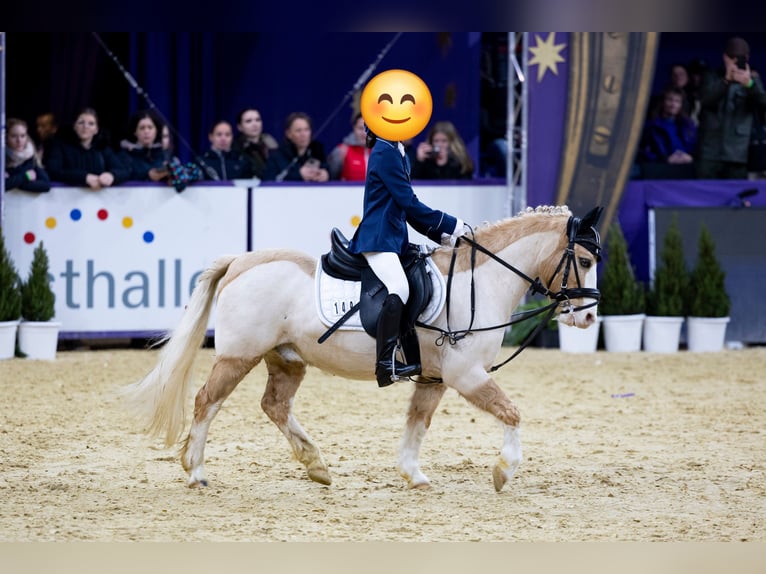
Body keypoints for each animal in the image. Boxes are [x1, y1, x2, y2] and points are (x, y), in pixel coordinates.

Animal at [122, 204, 603, 492]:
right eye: (583, 260)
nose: (586, 319)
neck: (478, 282)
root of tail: (242, 261)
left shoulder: (435, 378)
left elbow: (417, 423)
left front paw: (413, 474)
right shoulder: (465, 374)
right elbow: (512, 413)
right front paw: (504, 471)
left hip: (287, 359)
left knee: (274, 405)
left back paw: (316, 466)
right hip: (237, 357)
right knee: (207, 402)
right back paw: (197, 472)